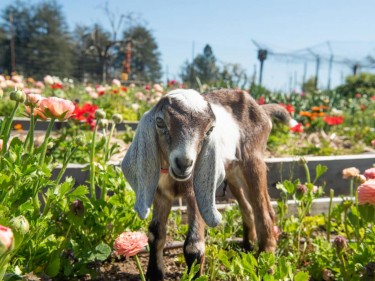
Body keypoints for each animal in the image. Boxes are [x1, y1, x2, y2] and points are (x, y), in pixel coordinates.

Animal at [122, 88, 298, 278]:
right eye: (160, 122)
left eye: (210, 130)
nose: (184, 163)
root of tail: (261, 109)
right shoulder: (161, 193)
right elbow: (155, 234)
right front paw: (154, 274)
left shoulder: (196, 191)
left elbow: (194, 245)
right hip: (232, 172)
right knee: (247, 207)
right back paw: (247, 248)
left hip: (253, 161)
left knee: (265, 212)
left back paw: (266, 264)